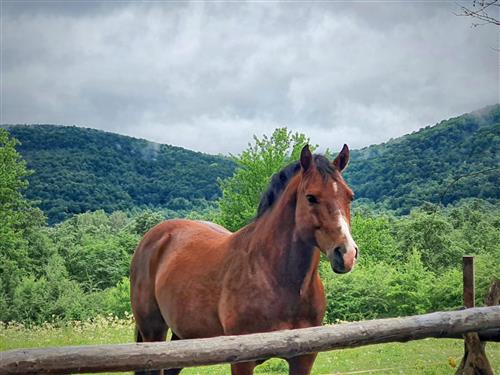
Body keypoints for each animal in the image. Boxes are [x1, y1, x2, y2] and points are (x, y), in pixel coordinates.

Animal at [130, 145, 360, 375]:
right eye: (311, 197)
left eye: (350, 196)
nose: (346, 253)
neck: (274, 277)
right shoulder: (242, 359)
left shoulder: (304, 358)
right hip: (153, 334)